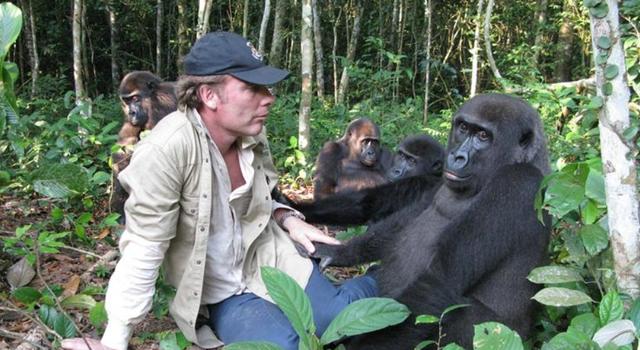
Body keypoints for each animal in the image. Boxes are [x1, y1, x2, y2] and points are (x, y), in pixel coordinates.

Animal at [296, 94, 552, 348]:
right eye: (463, 128)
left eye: (483, 136)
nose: (457, 156)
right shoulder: (436, 182)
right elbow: (397, 225)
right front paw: (336, 250)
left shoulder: (518, 183)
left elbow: (438, 283)